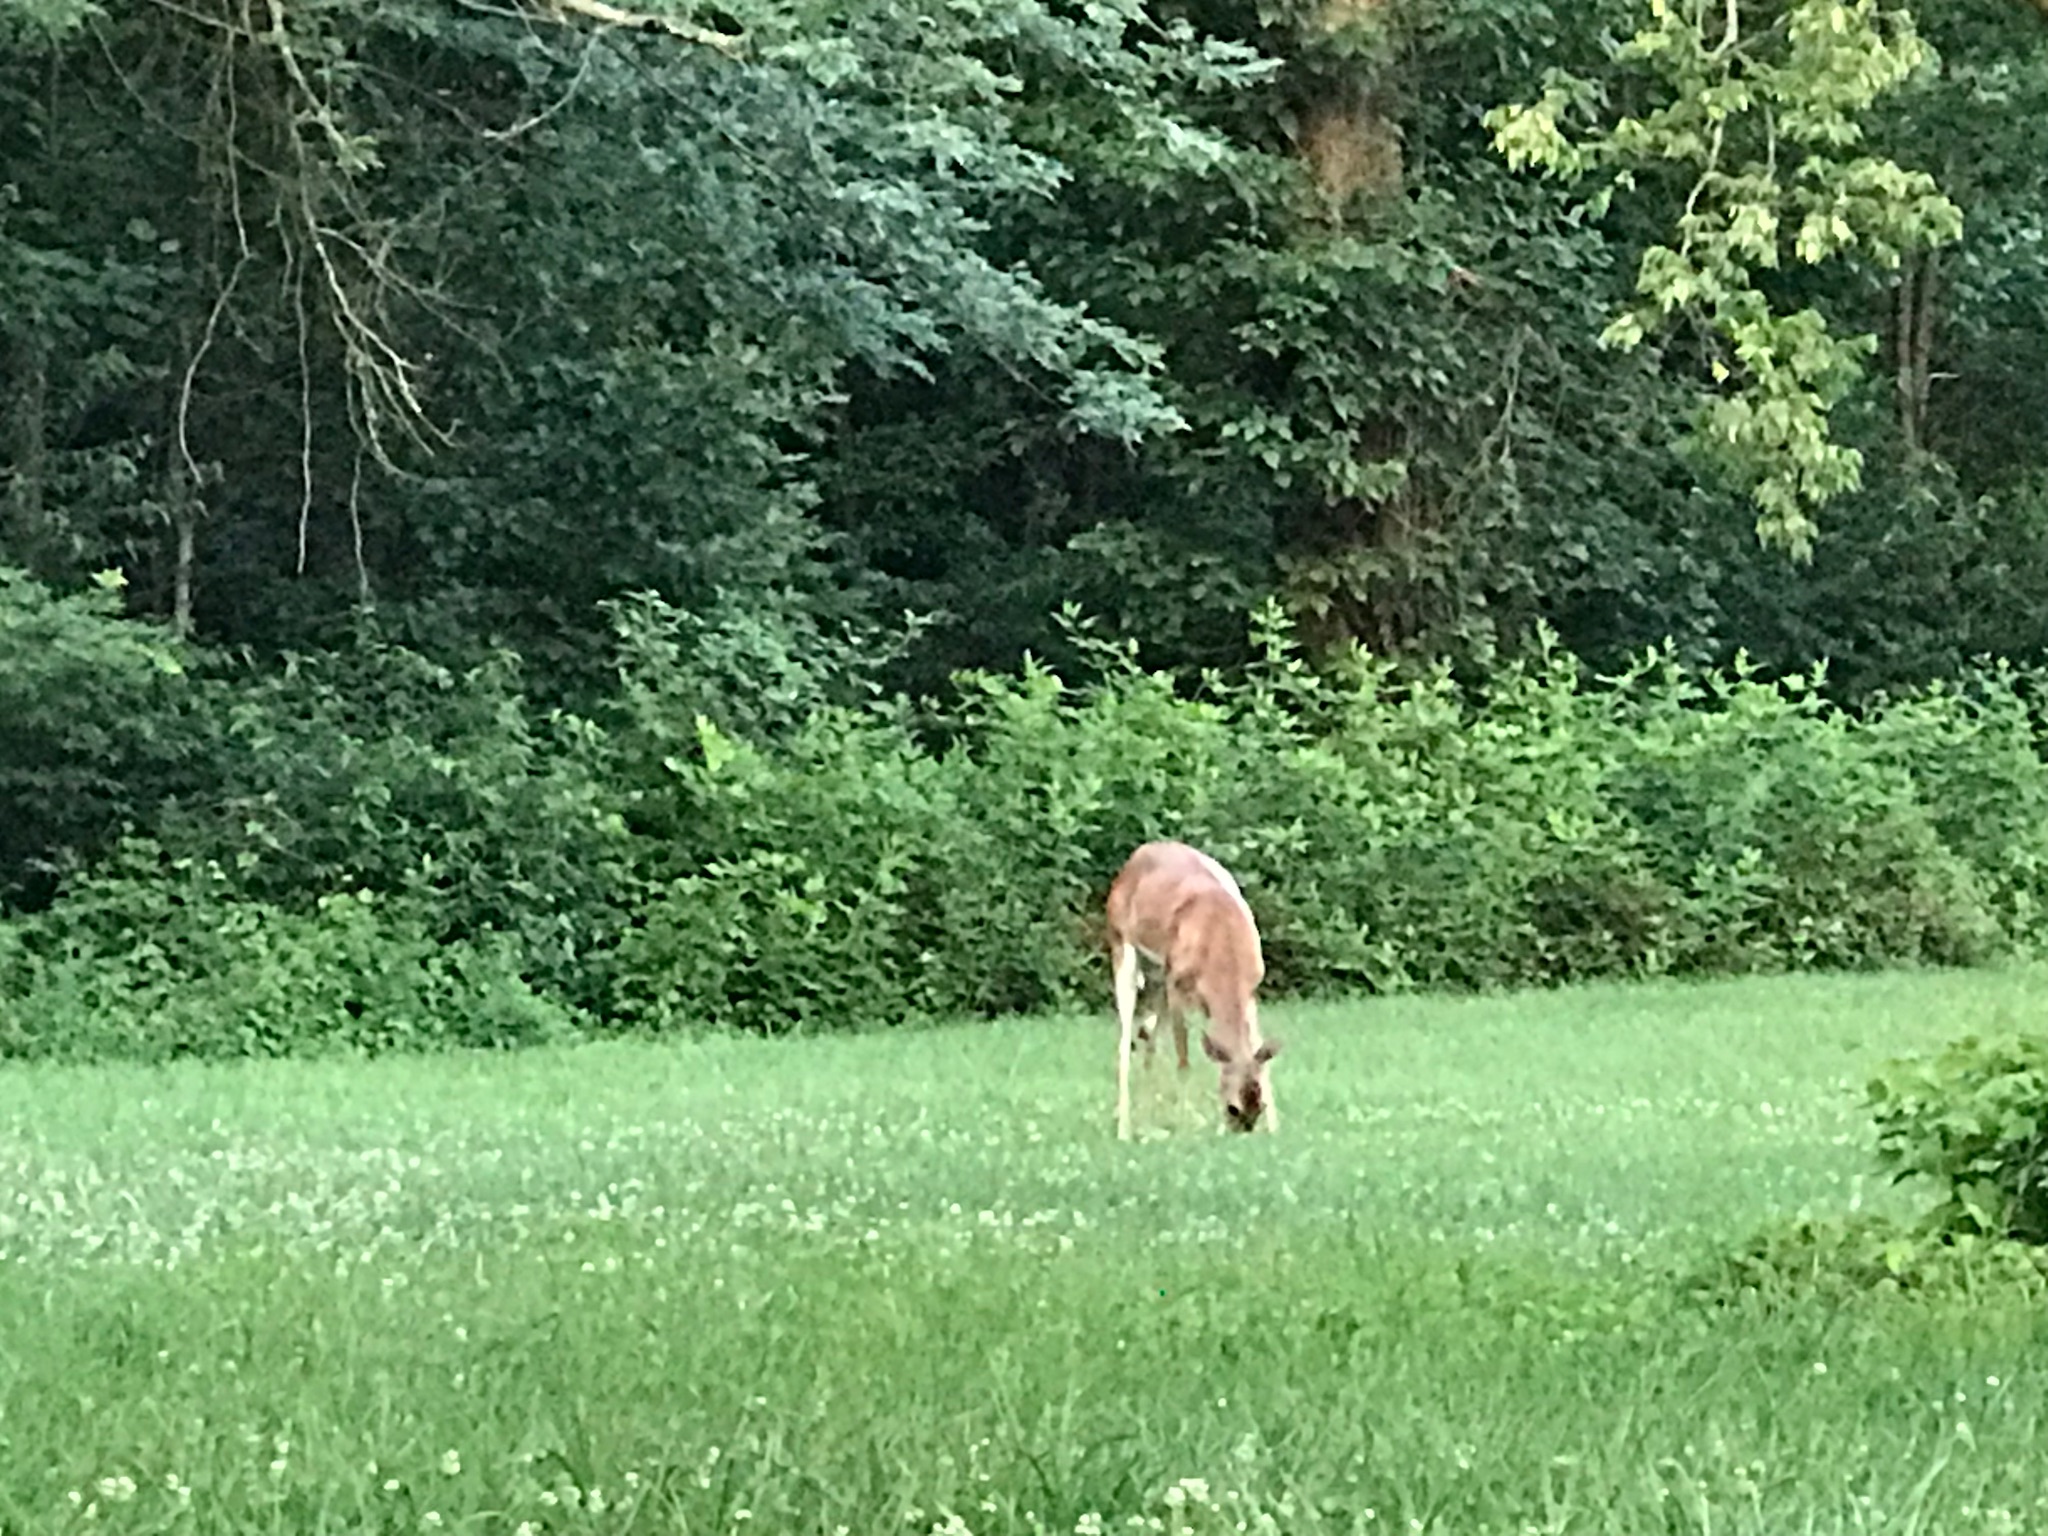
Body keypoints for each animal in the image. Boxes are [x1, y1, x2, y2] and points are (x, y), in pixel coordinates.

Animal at [1105, 840, 1280, 1140]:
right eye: (1233, 1107)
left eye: (1260, 1106)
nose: (1241, 1131)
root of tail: (1135, 857)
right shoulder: (1177, 985)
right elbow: (1183, 1060)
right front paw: (1185, 1125)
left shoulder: (1251, 989)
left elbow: (1258, 1052)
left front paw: (1274, 1128)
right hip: (1123, 947)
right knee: (1126, 1041)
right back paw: (1124, 1129)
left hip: (1158, 977)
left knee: (1149, 1042)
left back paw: (1148, 1123)